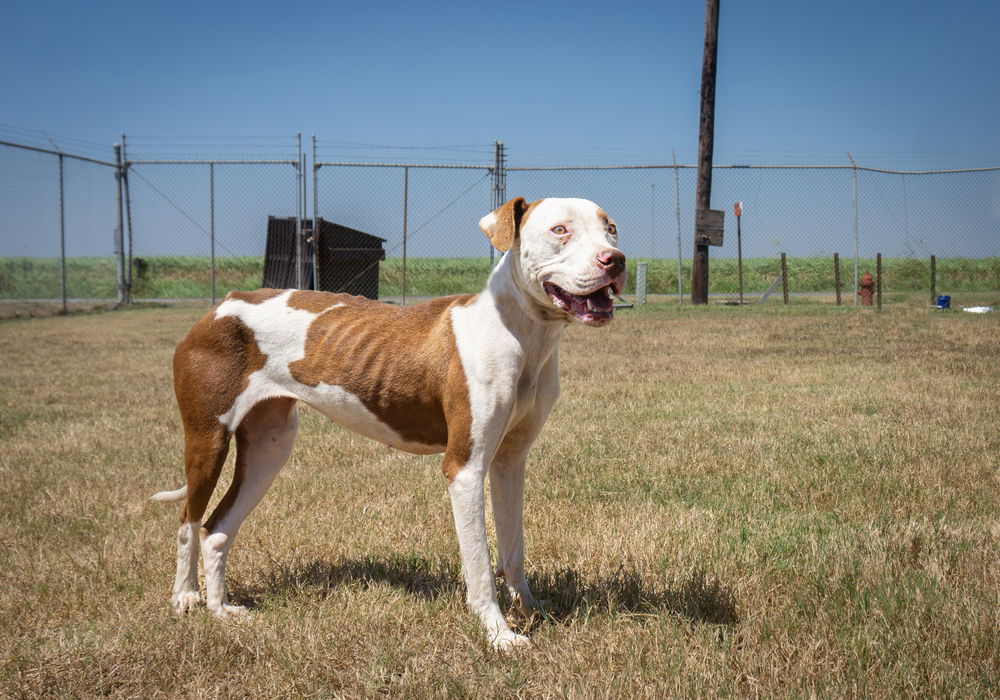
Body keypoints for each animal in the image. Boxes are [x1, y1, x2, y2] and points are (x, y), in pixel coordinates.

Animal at [152, 197, 624, 652]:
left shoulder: (509, 462)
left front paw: (530, 610)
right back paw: (185, 598)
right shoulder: (465, 469)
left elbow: (513, 549)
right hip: (208, 438)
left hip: (271, 446)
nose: (615, 260)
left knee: (216, 529)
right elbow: (480, 566)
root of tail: (222, 305)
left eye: (611, 228)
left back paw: (221, 611)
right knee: (189, 521)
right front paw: (498, 634)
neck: (522, 334)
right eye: (560, 229)